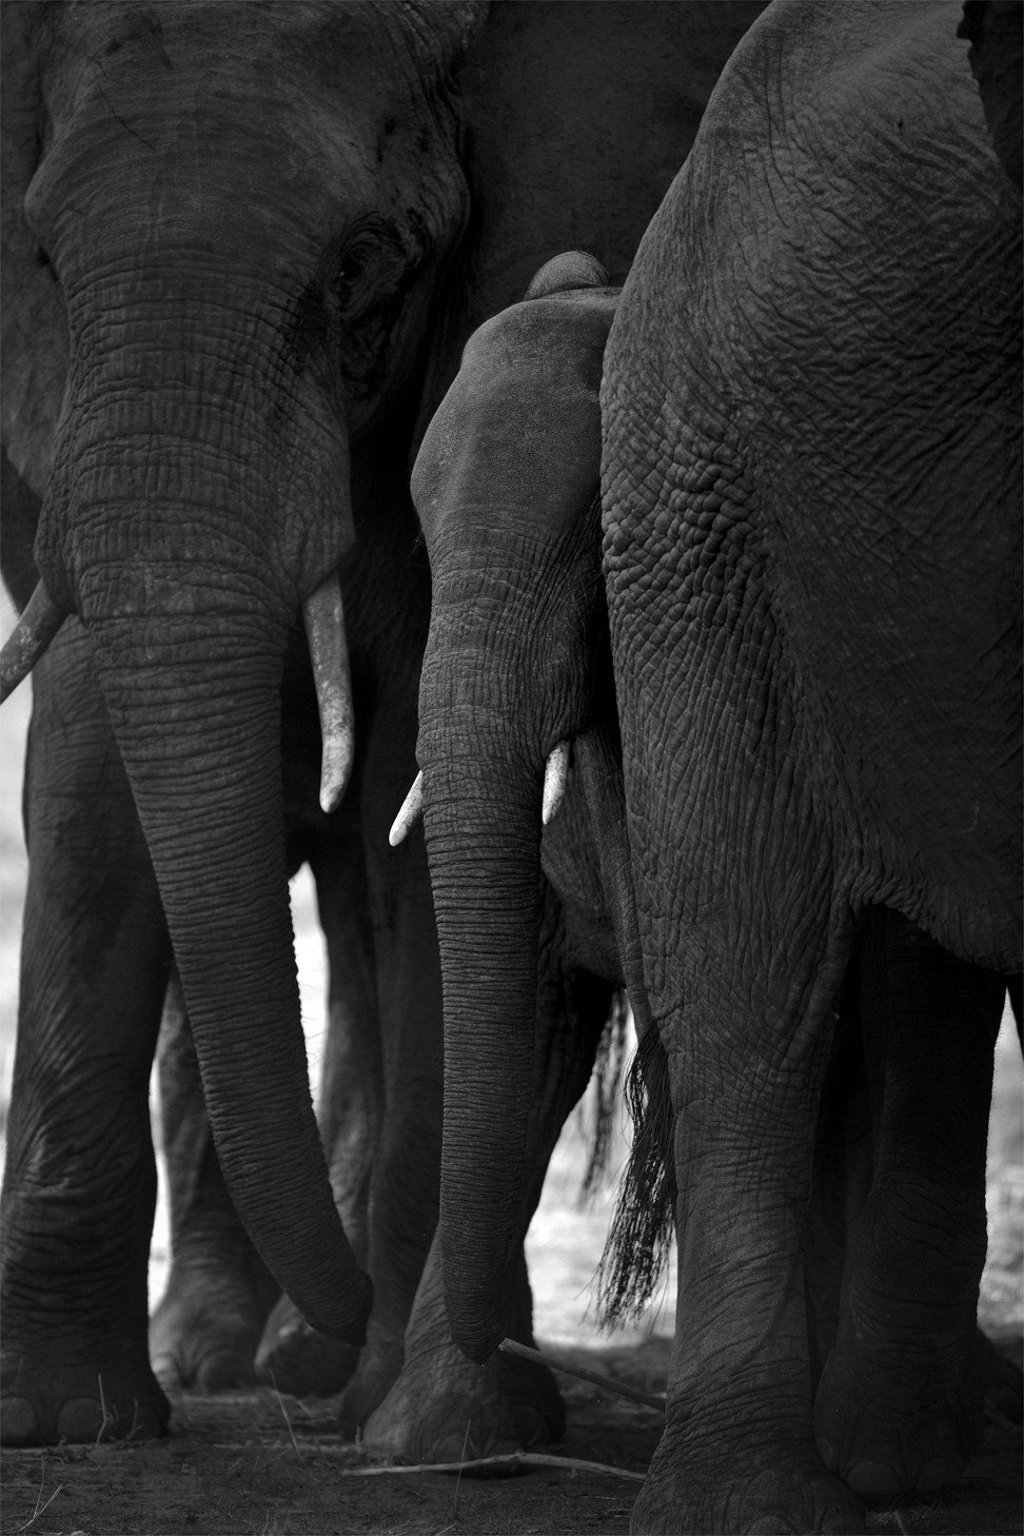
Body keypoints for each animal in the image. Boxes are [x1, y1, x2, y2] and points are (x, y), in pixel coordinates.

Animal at [0, 0, 769, 1449]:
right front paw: (64, 1417)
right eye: (46, 261)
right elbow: (85, 777)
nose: (342, 1308)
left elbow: (421, 774)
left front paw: (424, 1417)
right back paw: (238, 1357)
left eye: (360, 266)